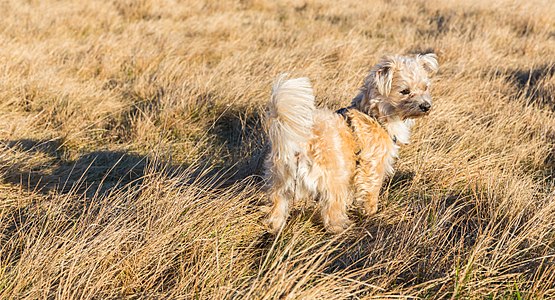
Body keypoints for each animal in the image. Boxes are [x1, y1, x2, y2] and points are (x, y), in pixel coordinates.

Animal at [264, 53, 438, 232]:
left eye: (425, 87)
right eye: (405, 91)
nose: (426, 106)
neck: (375, 115)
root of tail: (299, 145)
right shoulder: (373, 166)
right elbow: (371, 190)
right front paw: (371, 211)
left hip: (281, 181)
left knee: (278, 203)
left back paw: (275, 226)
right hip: (335, 180)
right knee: (331, 211)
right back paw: (341, 227)